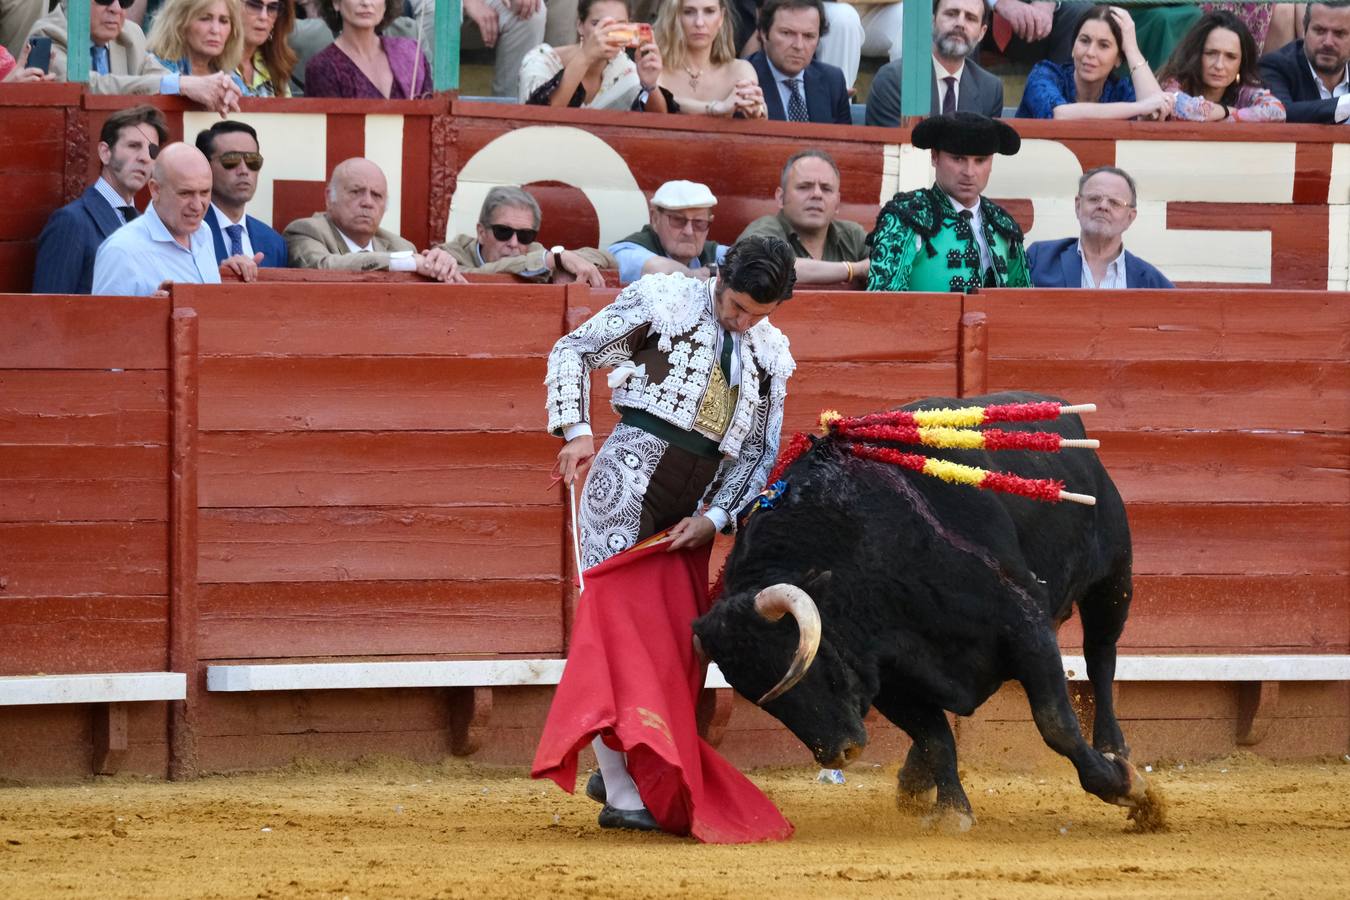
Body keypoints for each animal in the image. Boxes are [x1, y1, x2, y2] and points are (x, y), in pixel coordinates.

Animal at [696, 391, 1150, 825]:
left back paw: (1115, 748)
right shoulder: (890, 677)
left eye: (805, 667)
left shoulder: (1026, 630)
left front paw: (1126, 788)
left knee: (1100, 656)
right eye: (758, 697)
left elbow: (1056, 723)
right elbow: (935, 738)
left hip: (1113, 580)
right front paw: (951, 810)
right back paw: (914, 779)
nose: (839, 753)